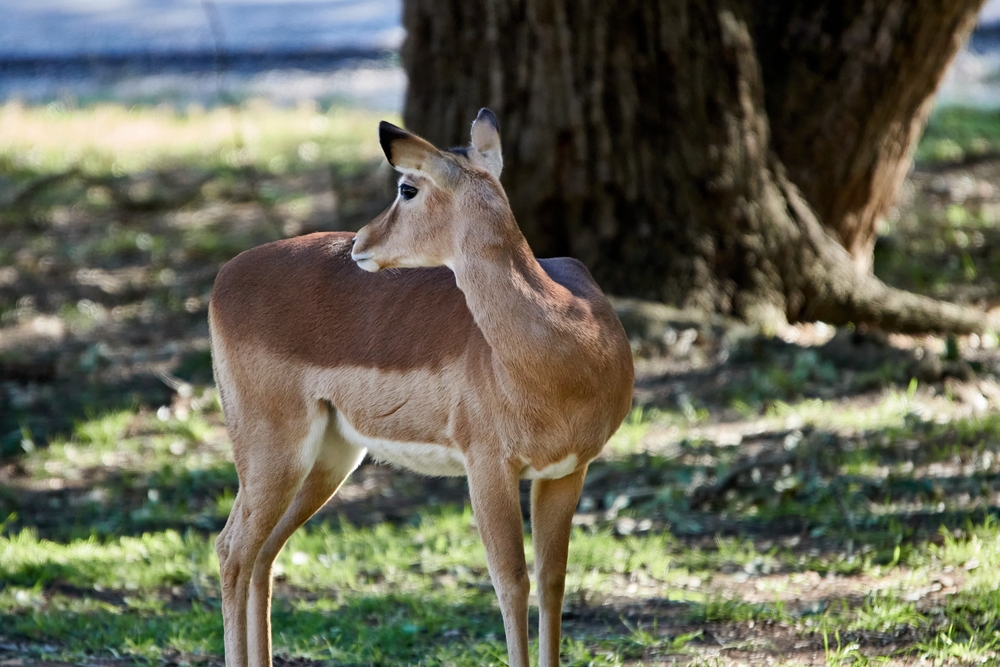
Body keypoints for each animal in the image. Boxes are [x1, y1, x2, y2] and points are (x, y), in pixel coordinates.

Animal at [208, 108, 634, 667]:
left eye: (407, 188)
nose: (359, 244)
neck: (571, 342)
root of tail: (225, 275)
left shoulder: (566, 471)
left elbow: (551, 581)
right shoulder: (488, 468)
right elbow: (511, 583)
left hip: (330, 458)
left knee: (262, 554)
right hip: (273, 455)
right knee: (232, 550)